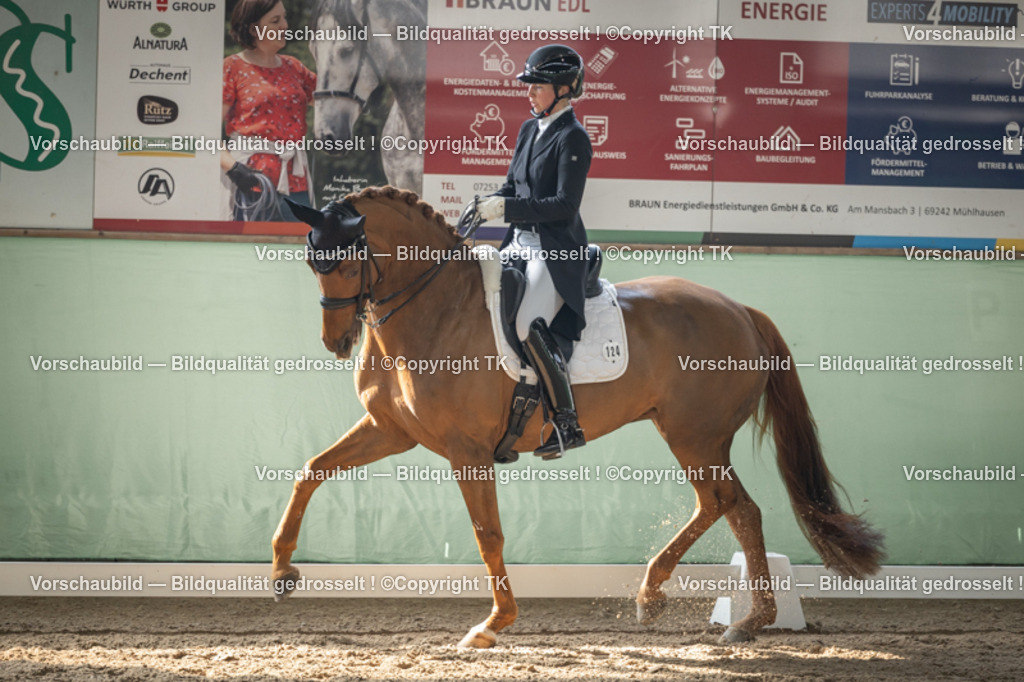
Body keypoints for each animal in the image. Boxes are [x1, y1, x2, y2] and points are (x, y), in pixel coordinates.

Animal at [272, 186, 885, 648]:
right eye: (311, 262)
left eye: (345, 262)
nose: (335, 341)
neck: (435, 309)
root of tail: (742, 311)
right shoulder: (391, 431)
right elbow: (310, 471)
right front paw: (281, 573)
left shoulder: (467, 450)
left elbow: (488, 535)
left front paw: (493, 625)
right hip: (691, 435)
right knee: (731, 507)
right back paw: (710, 611)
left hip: (696, 436)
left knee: (732, 505)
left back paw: (715, 611)